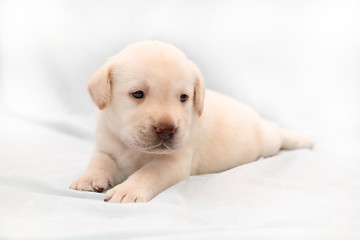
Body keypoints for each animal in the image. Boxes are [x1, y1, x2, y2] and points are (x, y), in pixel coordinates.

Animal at [69, 40, 312, 202]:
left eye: (184, 97)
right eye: (137, 94)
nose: (166, 129)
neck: (133, 148)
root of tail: (257, 117)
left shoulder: (174, 162)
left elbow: (148, 173)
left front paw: (128, 190)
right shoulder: (106, 146)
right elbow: (99, 161)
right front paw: (88, 178)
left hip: (268, 139)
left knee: (278, 134)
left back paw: (301, 140)